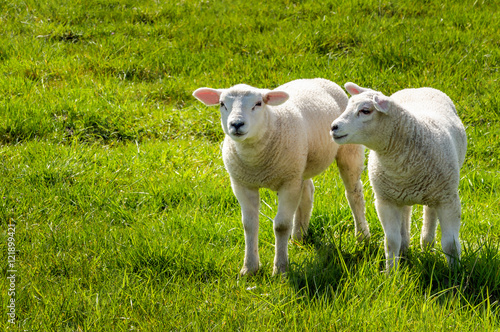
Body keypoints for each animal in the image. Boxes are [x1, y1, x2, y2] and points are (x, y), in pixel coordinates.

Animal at [193, 78, 370, 274]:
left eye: (258, 103)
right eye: (222, 104)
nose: (237, 124)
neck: (256, 162)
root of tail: (316, 78)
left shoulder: (288, 183)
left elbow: (281, 225)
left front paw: (280, 269)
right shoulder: (242, 184)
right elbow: (249, 224)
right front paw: (249, 268)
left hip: (348, 151)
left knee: (354, 194)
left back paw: (362, 237)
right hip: (301, 164)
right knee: (307, 192)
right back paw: (299, 236)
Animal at [330, 82, 466, 270]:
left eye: (365, 110)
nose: (333, 127)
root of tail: (418, 88)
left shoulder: (449, 200)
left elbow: (450, 244)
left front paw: (455, 273)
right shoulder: (385, 201)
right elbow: (391, 241)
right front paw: (391, 273)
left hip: (438, 190)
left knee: (430, 211)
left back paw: (426, 244)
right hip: (400, 193)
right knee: (407, 212)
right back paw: (406, 247)